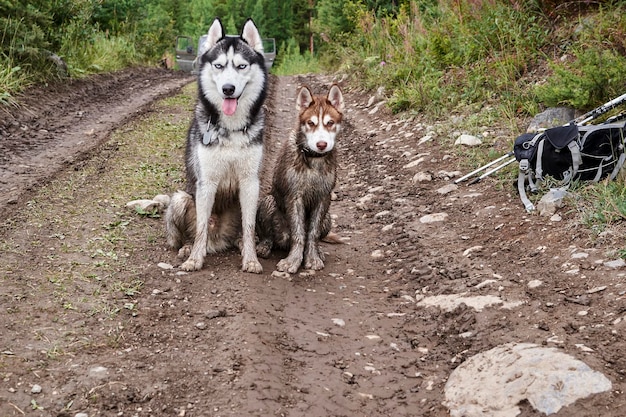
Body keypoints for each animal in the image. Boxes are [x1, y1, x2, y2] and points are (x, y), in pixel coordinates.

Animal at [256, 84, 344, 272]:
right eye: (310, 123)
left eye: (330, 123)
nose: (321, 144)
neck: (313, 160)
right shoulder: (294, 196)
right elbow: (298, 233)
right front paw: (293, 260)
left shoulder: (323, 198)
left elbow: (312, 233)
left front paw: (312, 257)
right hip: (268, 202)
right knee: (269, 236)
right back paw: (265, 246)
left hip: (328, 217)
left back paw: (320, 251)